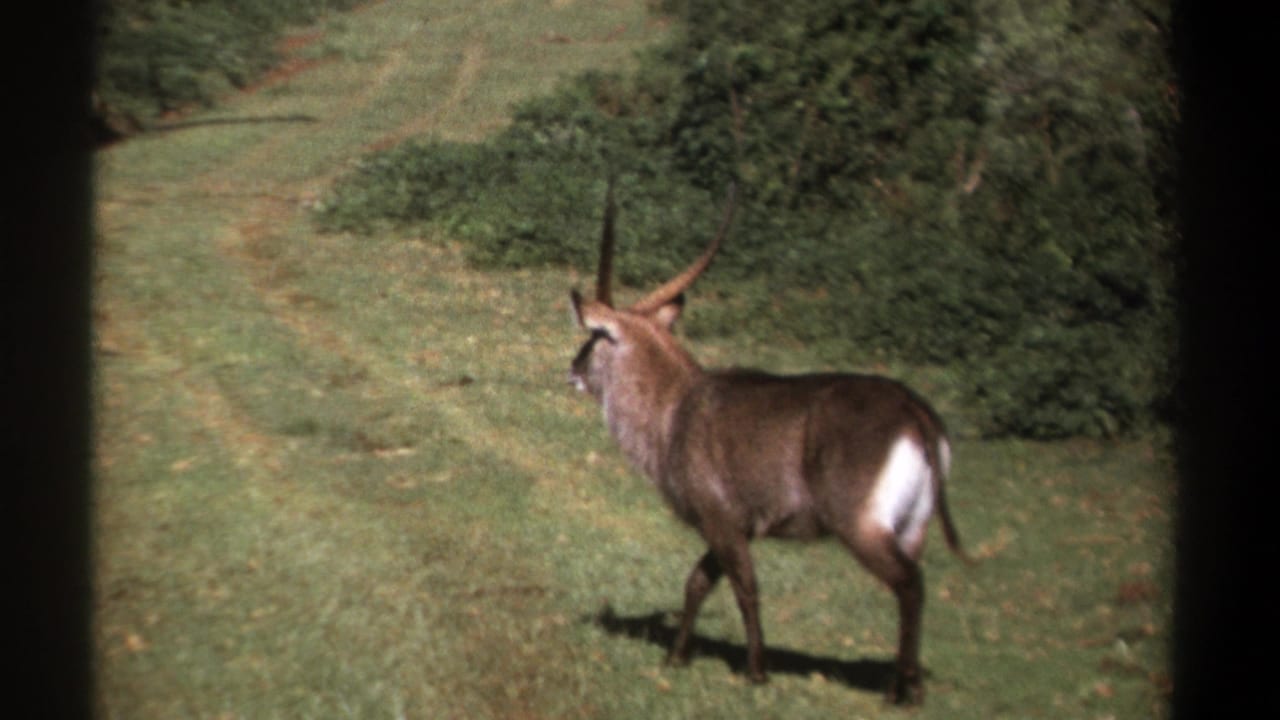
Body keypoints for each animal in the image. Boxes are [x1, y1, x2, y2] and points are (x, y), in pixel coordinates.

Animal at [567, 182, 969, 705]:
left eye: (593, 336)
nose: (572, 369)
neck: (674, 408)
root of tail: (913, 408)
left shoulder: (721, 519)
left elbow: (745, 588)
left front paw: (756, 672)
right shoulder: (736, 526)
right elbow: (697, 582)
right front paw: (677, 657)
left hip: (861, 525)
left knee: (910, 584)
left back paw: (902, 695)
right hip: (913, 526)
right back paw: (904, 686)